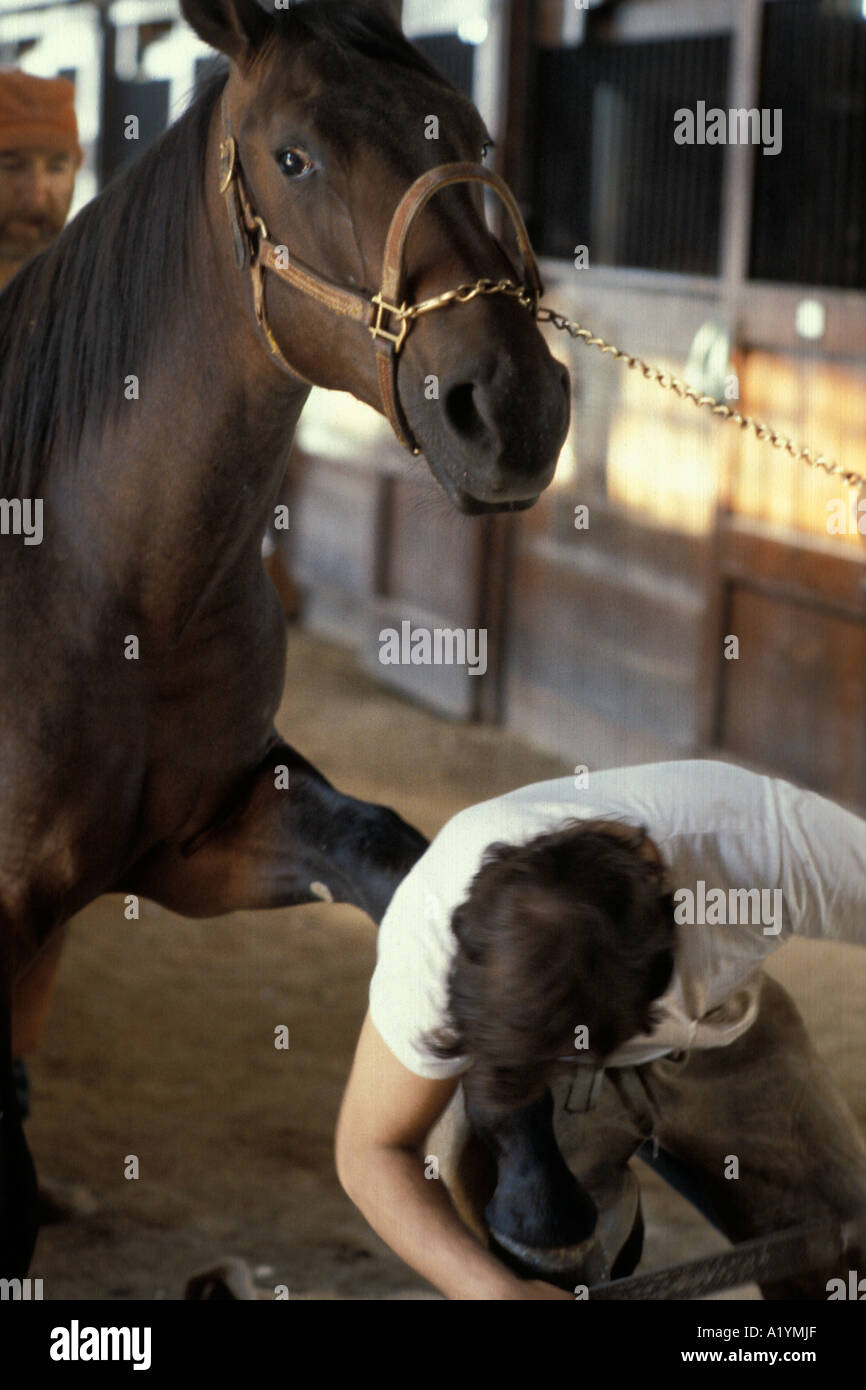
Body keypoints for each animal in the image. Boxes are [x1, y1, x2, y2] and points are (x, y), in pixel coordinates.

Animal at [0, 0, 572, 1273]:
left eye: (474, 135)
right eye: (294, 158)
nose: (513, 406)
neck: (98, 589)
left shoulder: (196, 838)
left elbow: (399, 858)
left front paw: (531, 1179)